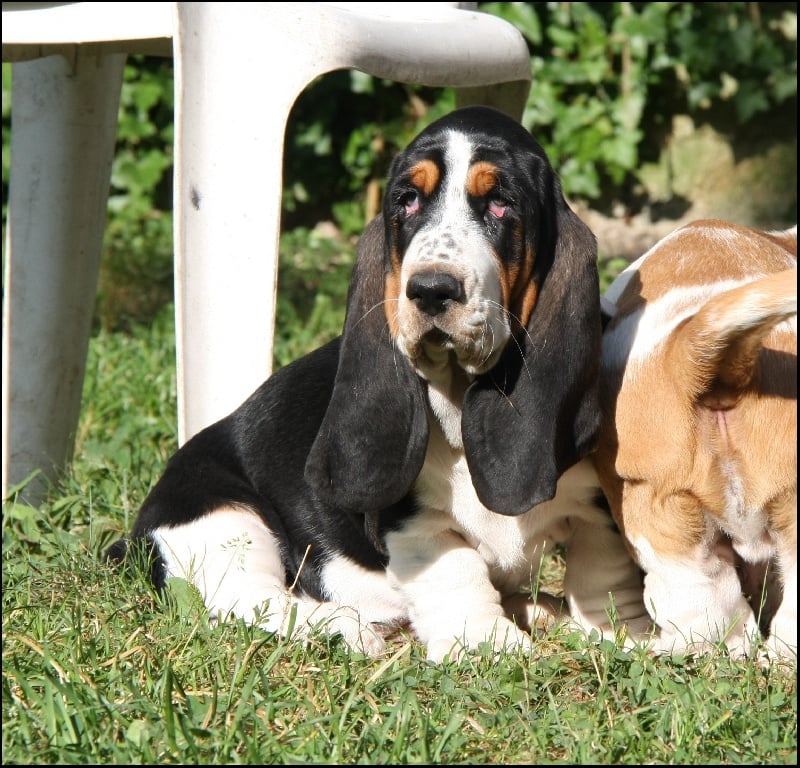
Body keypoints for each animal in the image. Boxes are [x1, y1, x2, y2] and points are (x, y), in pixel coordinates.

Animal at [107, 106, 650, 662]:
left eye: (501, 203)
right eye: (407, 201)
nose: (430, 289)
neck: (457, 395)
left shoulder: (599, 508)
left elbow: (602, 572)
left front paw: (622, 633)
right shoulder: (411, 521)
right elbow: (455, 568)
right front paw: (484, 643)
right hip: (223, 521)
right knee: (249, 600)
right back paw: (346, 626)